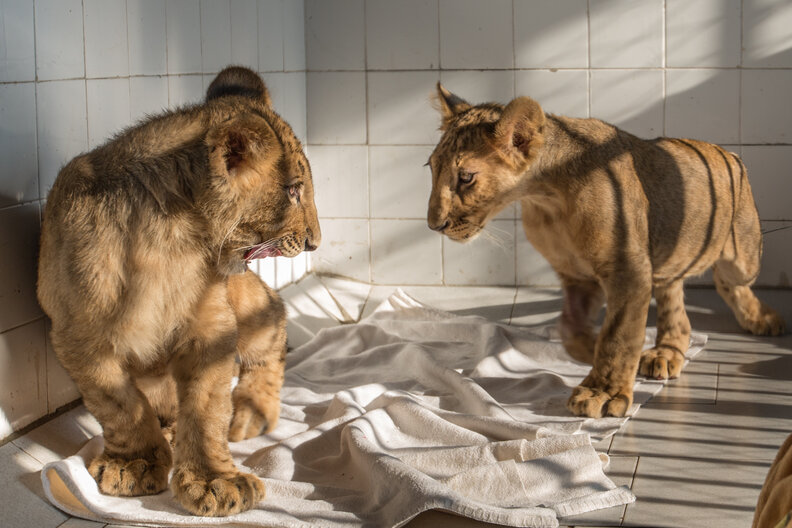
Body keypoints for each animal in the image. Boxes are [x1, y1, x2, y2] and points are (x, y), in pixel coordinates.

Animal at [37, 66, 320, 516]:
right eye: (293, 190)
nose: (315, 242)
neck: (167, 244)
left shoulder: (213, 327)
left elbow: (206, 409)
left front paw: (215, 482)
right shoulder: (79, 339)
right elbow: (119, 405)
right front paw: (133, 465)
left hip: (246, 301)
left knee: (275, 323)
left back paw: (251, 412)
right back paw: (168, 433)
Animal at [427, 83, 784, 419]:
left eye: (466, 177)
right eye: (431, 169)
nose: (434, 225)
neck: (546, 197)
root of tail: (726, 152)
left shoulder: (628, 270)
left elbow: (619, 334)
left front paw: (603, 392)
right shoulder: (576, 274)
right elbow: (570, 328)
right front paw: (590, 352)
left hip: (743, 255)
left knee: (730, 281)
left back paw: (763, 318)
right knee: (675, 299)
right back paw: (666, 353)